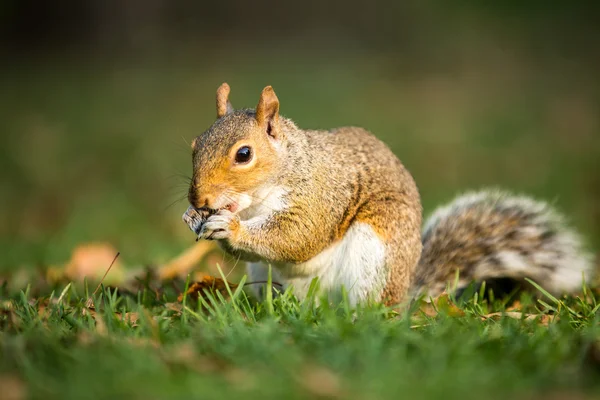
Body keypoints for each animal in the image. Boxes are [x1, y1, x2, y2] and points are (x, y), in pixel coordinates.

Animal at [180, 83, 592, 304]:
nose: (199, 200)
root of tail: (406, 290)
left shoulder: (320, 194)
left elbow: (297, 236)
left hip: (376, 251)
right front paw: (193, 218)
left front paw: (230, 228)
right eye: (194, 144)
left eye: (244, 154)